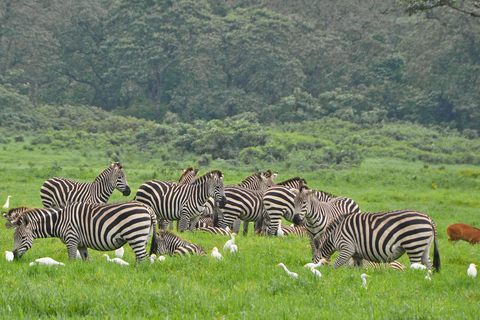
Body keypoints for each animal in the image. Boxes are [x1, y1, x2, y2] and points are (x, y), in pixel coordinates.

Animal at [10, 201, 158, 264]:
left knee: (144, 258)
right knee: (141, 258)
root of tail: (147, 208)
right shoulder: (81, 244)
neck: (59, 221)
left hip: (135, 235)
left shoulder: (71, 239)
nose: (14, 255)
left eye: (23, 237)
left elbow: (71, 260)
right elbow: (86, 260)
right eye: (14, 237)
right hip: (142, 238)